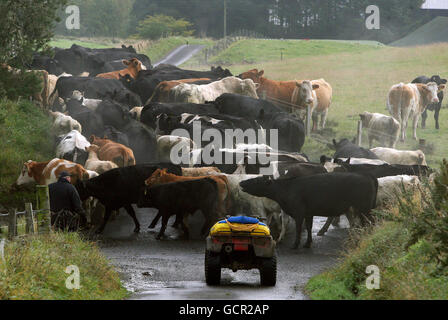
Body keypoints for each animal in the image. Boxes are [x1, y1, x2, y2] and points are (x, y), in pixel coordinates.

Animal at [240, 174, 380, 249]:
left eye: (256, 180)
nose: (241, 182)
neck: (287, 189)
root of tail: (367, 176)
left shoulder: (299, 212)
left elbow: (298, 229)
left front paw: (295, 245)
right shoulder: (309, 213)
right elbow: (308, 227)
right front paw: (308, 243)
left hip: (364, 208)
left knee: (370, 223)